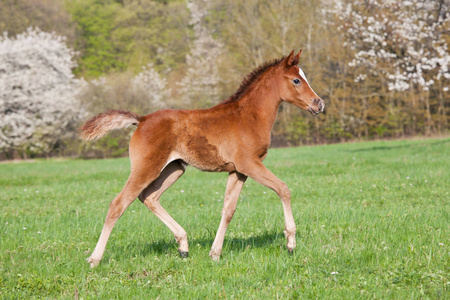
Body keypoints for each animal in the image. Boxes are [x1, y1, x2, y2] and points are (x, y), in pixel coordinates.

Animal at [81, 49, 324, 268]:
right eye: (296, 80)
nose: (319, 104)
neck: (249, 117)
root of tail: (141, 120)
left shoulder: (237, 171)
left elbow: (228, 210)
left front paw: (215, 254)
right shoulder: (250, 164)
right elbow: (283, 189)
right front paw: (291, 243)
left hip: (174, 169)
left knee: (149, 197)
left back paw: (183, 246)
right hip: (146, 168)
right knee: (118, 204)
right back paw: (94, 259)